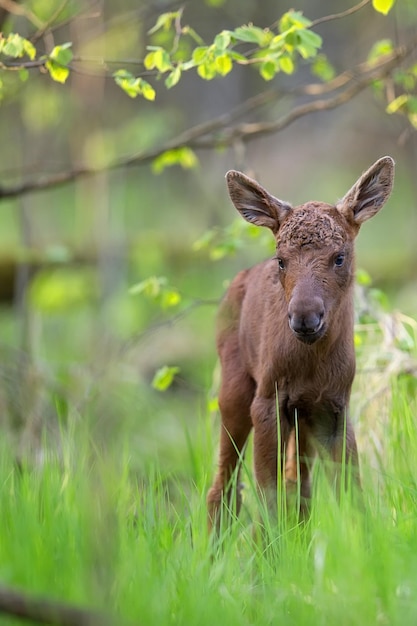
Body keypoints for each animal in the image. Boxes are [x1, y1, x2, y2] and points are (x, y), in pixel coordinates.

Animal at [207, 154, 394, 528]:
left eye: (339, 256)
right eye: (281, 261)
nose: (305, 318)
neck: (312, 364)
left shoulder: (334, 406)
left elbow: (350, 492)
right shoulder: (267, 402)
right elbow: (268, 495)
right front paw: (269, 543)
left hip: (301, 417)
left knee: (299, 484)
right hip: (235, 390)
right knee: (224, 485)